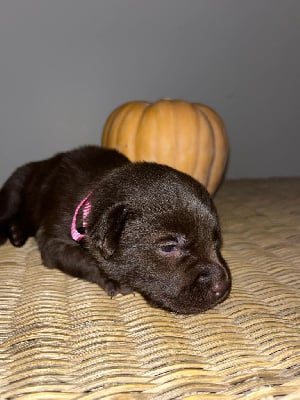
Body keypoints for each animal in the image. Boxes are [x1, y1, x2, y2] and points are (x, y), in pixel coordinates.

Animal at [0, 145, 231, 314]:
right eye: (169, 247)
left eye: (216, 241)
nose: (222, 287)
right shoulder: (53, 241)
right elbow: (84, 259)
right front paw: (112, 279)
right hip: (14, 187)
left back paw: (17, 234)